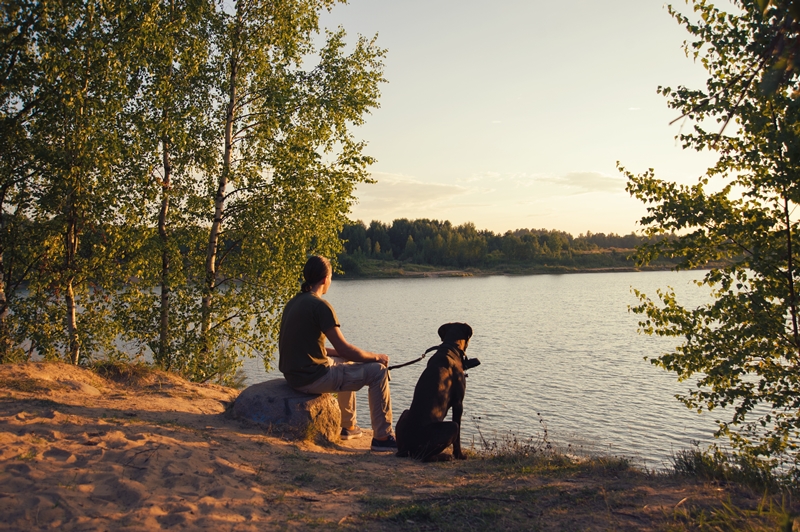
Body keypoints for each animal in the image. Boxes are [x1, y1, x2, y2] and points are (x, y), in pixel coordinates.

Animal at [396, 320, 478, 462]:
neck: (450, 347)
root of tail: (406, 447)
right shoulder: (458, 403)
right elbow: (458, 437)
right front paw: (459, 455)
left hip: (405, 413)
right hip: (451, 427)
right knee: (424, 456)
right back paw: (444, 456)